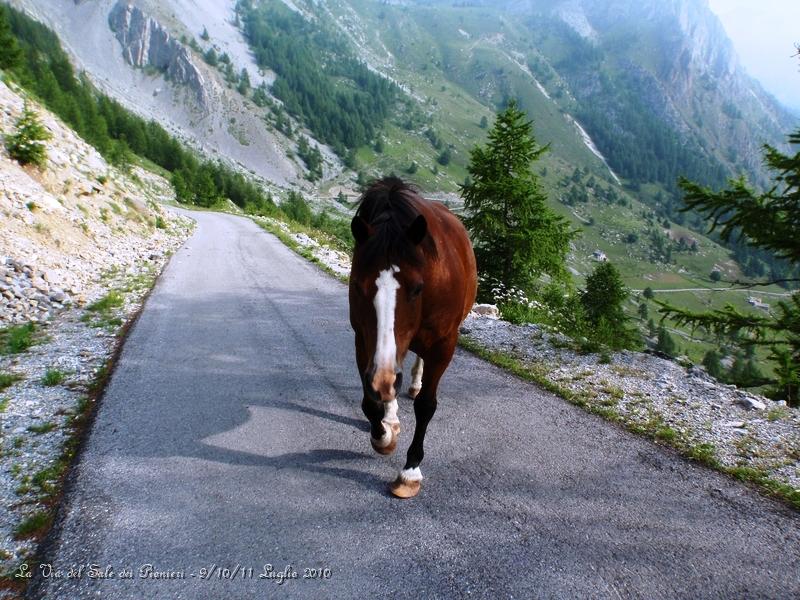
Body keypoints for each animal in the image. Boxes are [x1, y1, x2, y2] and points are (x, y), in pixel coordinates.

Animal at [348, 177, 476, 496]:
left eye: (418, 288)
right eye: (358, 286)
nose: (383, 378)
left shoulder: (444, 346)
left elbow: (426, 406)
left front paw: (410, 471)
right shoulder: (363, 340)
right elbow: (370, 401)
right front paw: (383, 435)